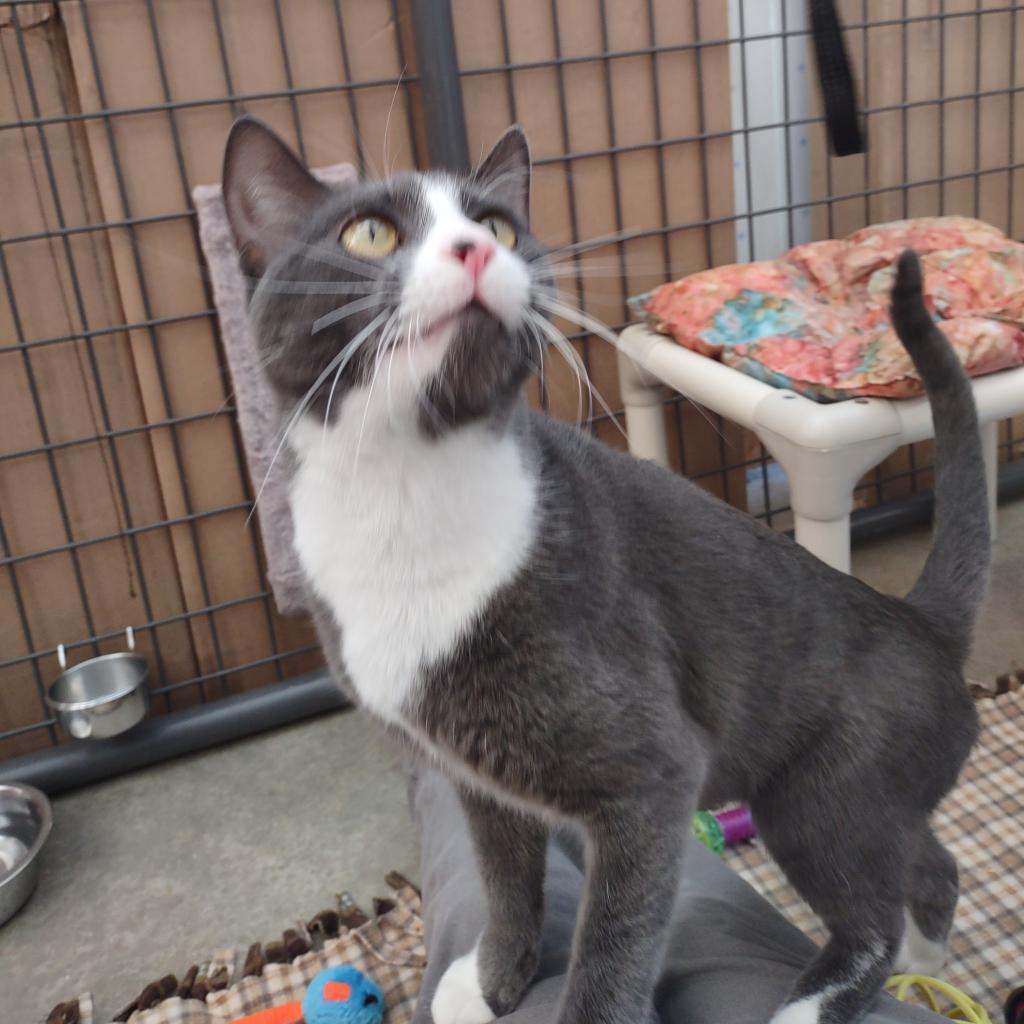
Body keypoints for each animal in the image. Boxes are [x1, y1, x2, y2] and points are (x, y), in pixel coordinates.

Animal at [224, 119, 991, 1024]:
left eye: (499, 225)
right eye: (368, 232)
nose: (476, 249)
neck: (407, 484)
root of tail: (920, 622)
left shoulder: (651, 772)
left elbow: (613, 942)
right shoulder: (478, 778)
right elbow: (506, 881)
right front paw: (491, 983)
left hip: (822, 791)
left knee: (868, 912)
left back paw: (817, 1003)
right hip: (874, 801)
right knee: (928, 860)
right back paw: (928, 963)